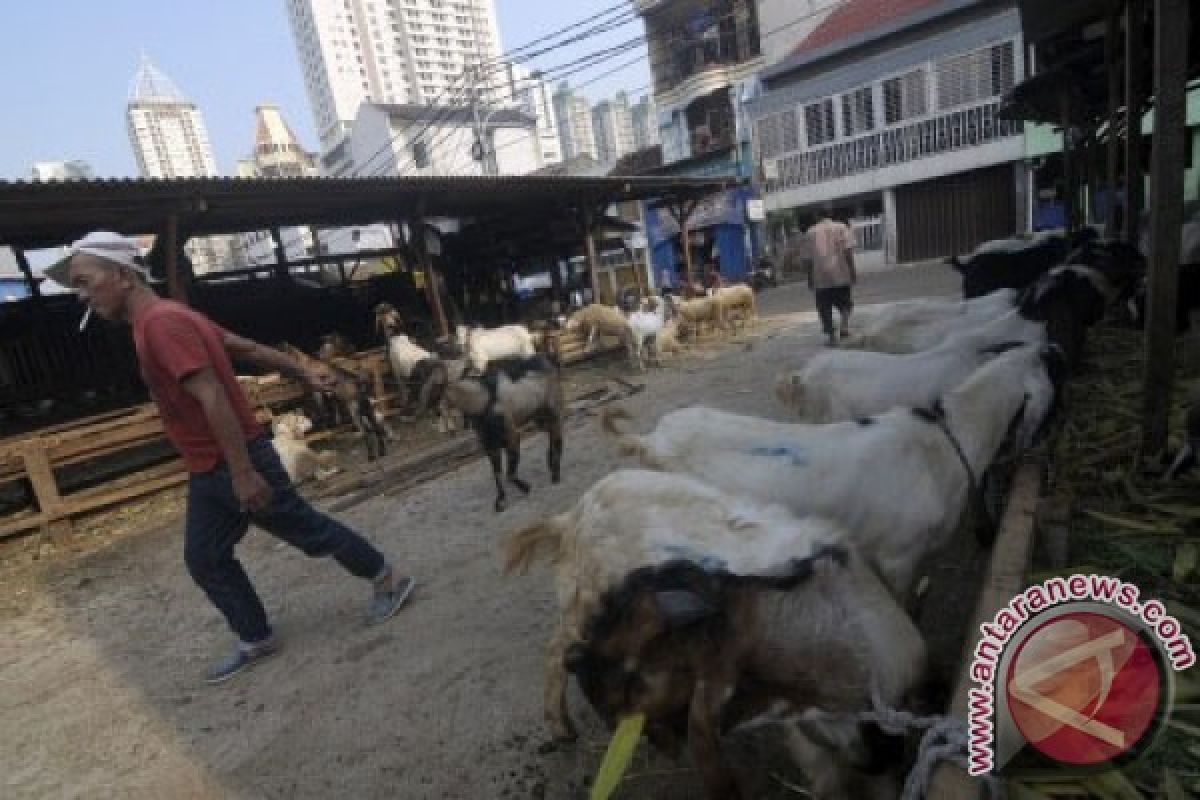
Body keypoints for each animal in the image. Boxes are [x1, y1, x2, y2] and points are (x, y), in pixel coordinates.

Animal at [446, 357, 566, 513]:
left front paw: (525, 487)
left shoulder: (513, 437)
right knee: (552, 435)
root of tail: (545, 360)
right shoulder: (490, 446)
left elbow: (509, 474)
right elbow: (497, 474)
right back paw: (551, 462)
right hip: (539, 419)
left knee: (557, 436)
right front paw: (500, 501)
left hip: (553, 412)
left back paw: (555, 473)